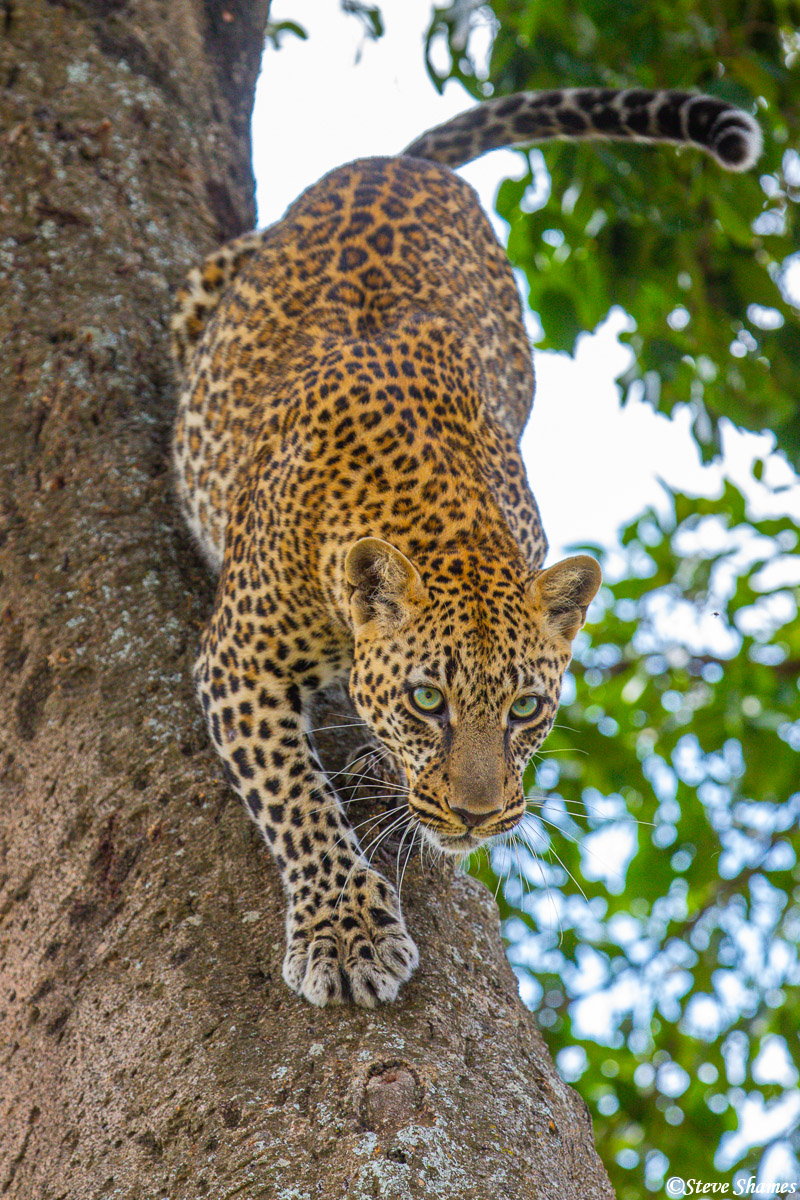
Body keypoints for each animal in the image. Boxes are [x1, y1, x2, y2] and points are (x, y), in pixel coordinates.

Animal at [170, 84, 762, 1008]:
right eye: (426, 700)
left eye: (525, 709)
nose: (481, 817)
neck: (447, 521)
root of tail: (399, 161)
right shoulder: (239, 658)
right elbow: (294, 796)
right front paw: (347, 931)